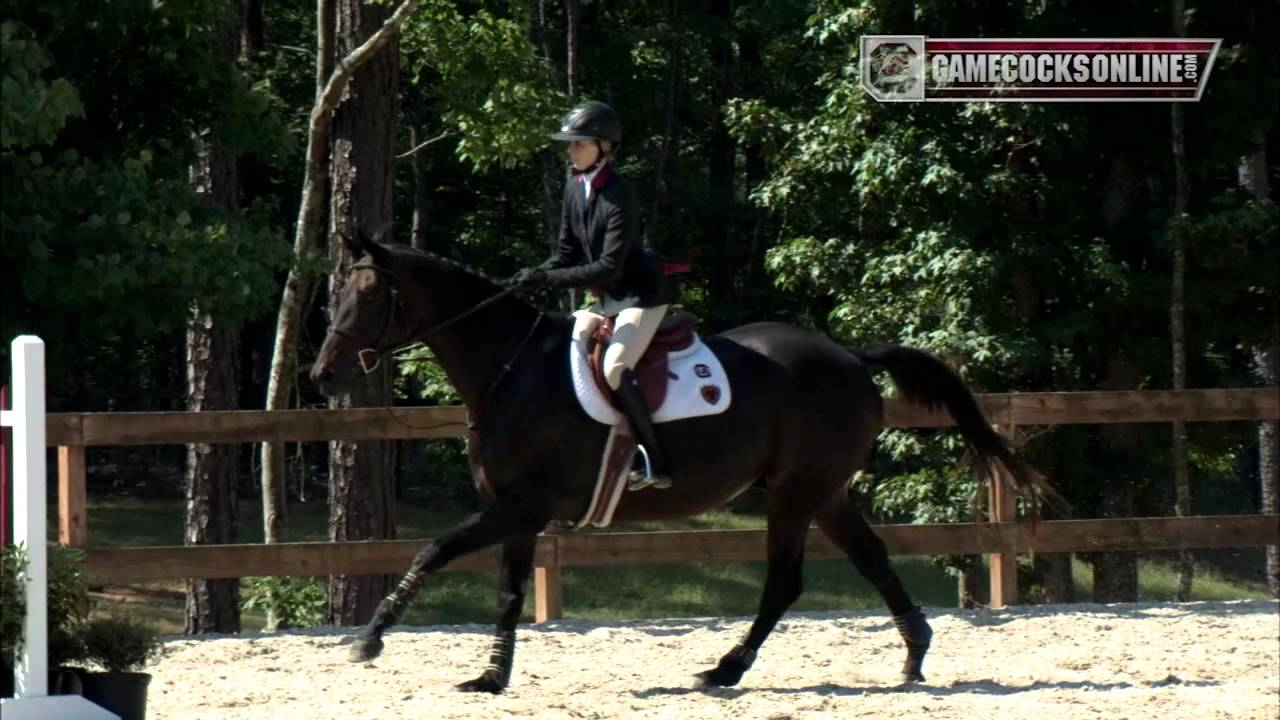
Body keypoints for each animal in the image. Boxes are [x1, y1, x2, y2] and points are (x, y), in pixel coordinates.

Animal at [307, 233, 1049, 691]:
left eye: (366, 296)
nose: (322, 374)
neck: (510, 369)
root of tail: (847, 354)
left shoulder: (520, 506)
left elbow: (431, 551)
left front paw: (369, 640)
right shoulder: (517, 513)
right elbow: (508, 593)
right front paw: (491, 677)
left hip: (794, 494)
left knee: (784, 581)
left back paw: (724, 670)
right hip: (824, 491)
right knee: (871, 558)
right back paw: (914, 653)